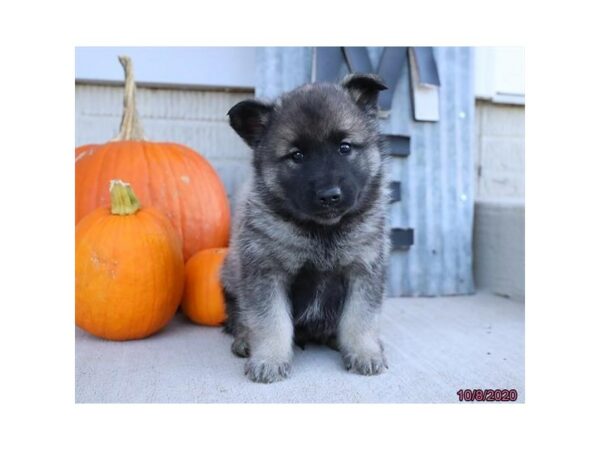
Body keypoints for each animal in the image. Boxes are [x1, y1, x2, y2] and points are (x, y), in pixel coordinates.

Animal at [220, 74, 390, 384]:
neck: (324, 231)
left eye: (344, 147)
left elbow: (360, 317)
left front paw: (364, 352)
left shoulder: (363, 271)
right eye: (297, 155)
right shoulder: (267, 273)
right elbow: (270, 321)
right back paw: (245, 340)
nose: (329, 196)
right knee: (239, 316)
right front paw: (269, 359)